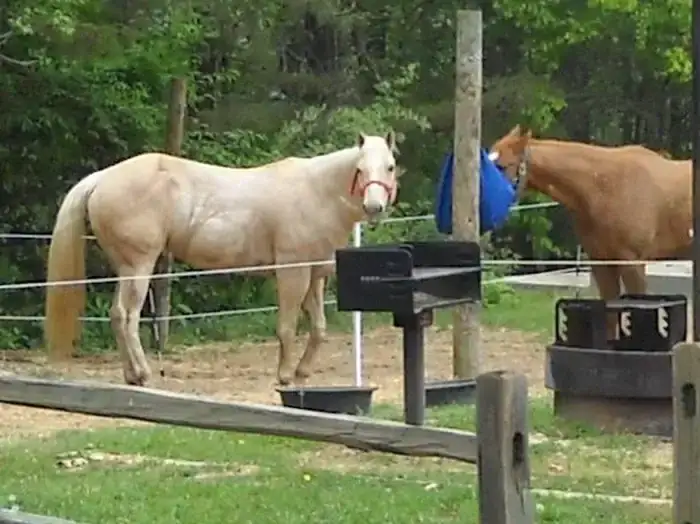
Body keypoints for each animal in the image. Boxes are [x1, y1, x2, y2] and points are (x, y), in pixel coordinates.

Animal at [44, 132, 400, 387]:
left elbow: (318, 329)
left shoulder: (314, 276)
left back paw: (131, 375)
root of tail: (102, 178)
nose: (374, 208)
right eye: (360, 169)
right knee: (127, 317)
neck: (315, 192)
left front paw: (301, 373)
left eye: (390, 166)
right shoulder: (291, 273)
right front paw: (285, 376)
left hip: (125, 269)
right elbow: (287, 328)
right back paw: (143, 373)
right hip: (139, 267)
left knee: (117, 317)